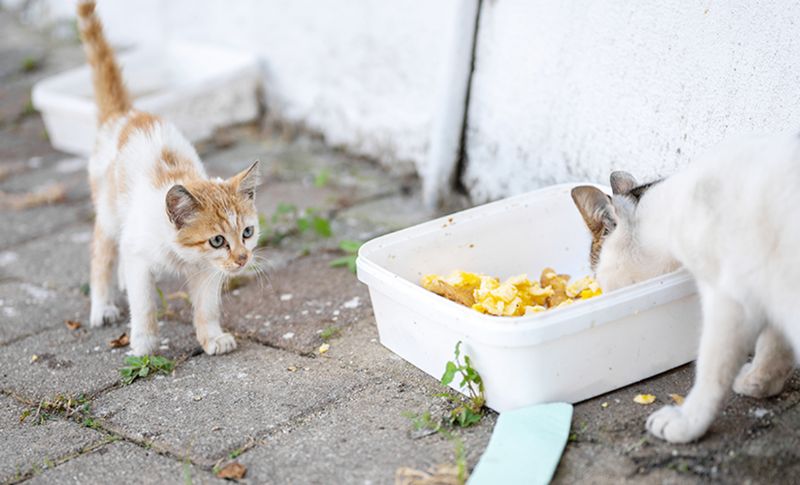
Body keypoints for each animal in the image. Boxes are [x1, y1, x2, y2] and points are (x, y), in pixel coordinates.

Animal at [572, 133, 796, 442]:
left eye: (601, 279)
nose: (601, 295)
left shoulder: (731, 300)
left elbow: (713, 368)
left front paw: (688, 421)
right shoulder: (766, 288)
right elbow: (774, 345)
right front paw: (760, 382)